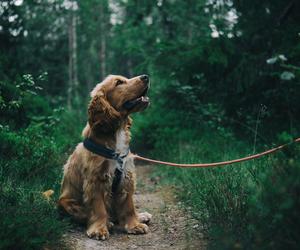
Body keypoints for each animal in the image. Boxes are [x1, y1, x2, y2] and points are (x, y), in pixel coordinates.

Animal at [58, 74, 151, 240]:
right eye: (119, 82)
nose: (145, 76)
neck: (116, 131)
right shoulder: (96, 180)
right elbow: (99, 208)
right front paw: (99, 229)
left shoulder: (126, 176)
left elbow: (129, 205)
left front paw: (134, 225)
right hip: (67, 203)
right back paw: (108, 222)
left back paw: (141, 216)